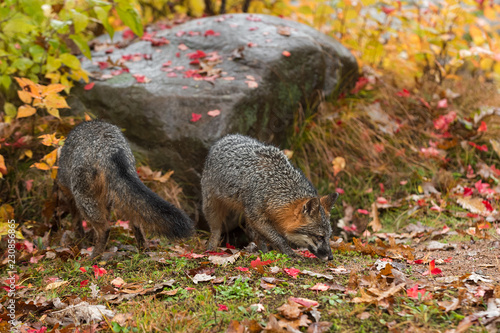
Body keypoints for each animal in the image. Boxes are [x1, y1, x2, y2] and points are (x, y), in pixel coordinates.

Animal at [56, 120, 193, 258]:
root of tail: (110, 148)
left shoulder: (69, 193)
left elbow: (76, 223)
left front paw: (81, 241)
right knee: (136, 222)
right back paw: (143, 251)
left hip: (84, 199)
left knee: (105, 229)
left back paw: (94, 257)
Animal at [201, 134, 338, 260]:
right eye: (319, 237)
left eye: (329, 236)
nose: (331, 257)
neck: (273, 185)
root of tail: (227, 137)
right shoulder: (256, 217)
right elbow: (279, 238)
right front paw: (290, 253)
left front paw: (269, 252)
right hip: (212, 208)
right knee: (216, 230)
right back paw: (211, 249)